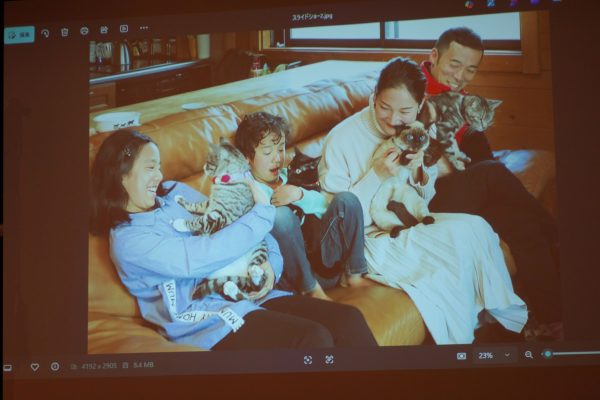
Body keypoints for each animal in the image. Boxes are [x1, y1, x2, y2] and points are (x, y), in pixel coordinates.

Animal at [172, 140, 269, 302]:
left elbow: (200, 221)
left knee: (254, 285)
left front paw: (180, 223)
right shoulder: (209, 205)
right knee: (244, 288)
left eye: (208, 162)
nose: (203, 167)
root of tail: (242, 271)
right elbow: (197, 206)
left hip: (259, 248)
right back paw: (231, 287)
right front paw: (180, 200)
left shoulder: (221, 217)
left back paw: (254, 273)